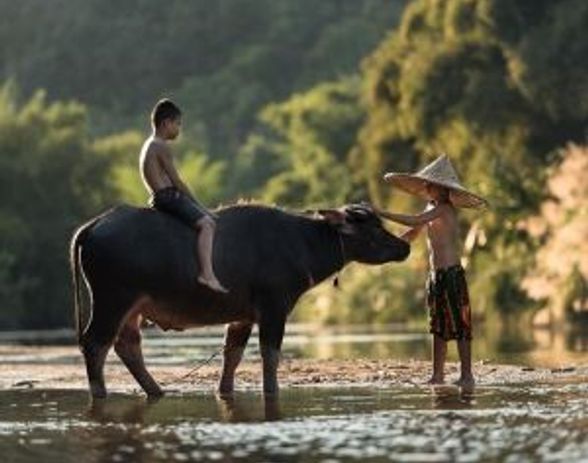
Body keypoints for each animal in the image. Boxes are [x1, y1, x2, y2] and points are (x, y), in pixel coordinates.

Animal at [70, 203, 408, 398]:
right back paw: (101, 394)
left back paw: (158, 391)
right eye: (373, 228)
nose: (404, 246)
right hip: (113, 300)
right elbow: (270, 356)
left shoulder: (242, 315)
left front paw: (224, 392)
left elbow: (231, 356)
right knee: (95, 344)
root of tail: (93, 225)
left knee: (126, 346)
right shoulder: (274, 308)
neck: (300, 242)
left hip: (133, 309)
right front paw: (271, 391)